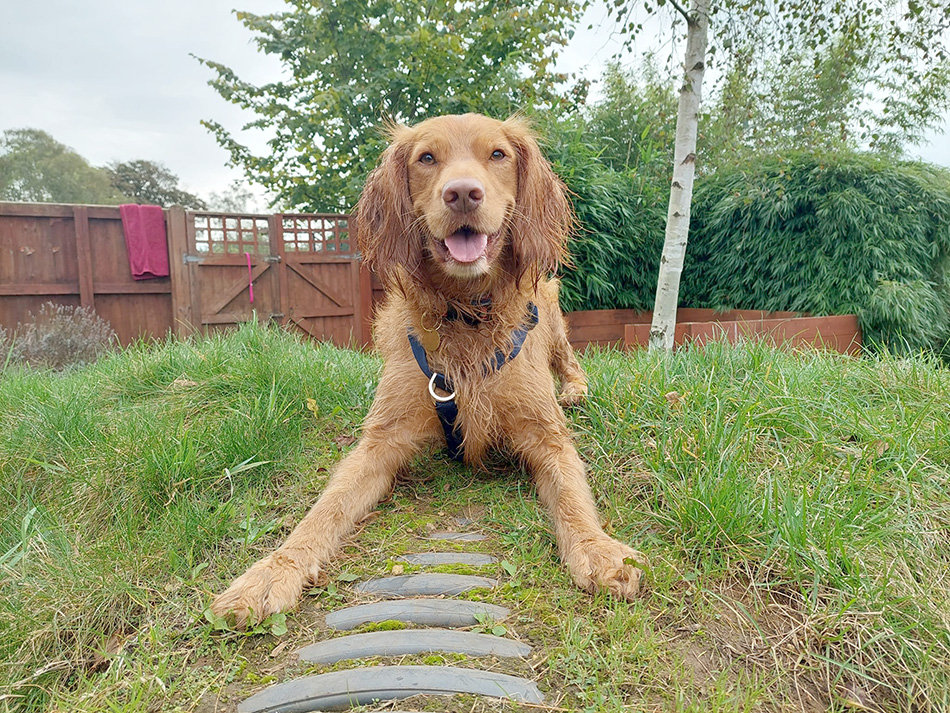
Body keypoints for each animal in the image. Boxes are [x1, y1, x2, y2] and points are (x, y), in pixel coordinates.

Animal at [212, 112, 648, 628]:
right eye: (426, 158)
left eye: (497, 154)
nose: (462, 193)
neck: (466, 314)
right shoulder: (382, 440)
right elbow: (324, 509)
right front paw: (271, 572)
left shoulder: (546, 434)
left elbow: (572, 497)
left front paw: (598, 550)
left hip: (553, 318)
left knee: (571, 360)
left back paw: (576, 390)